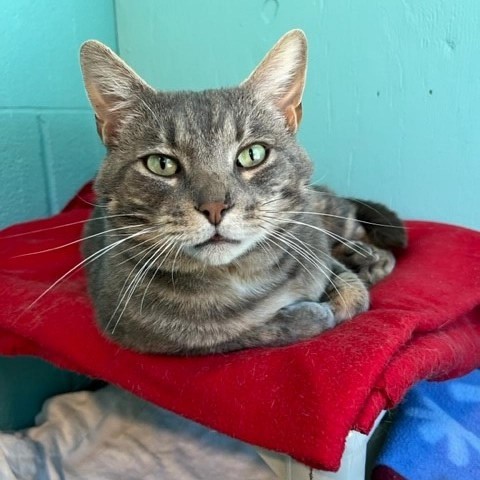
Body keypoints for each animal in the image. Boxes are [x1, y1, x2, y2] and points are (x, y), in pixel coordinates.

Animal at [79, 28, 404, 354]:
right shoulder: (148, 336)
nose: (214, 207)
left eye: (252, 154)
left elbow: (352, 294)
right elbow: (242, 333)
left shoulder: (317, 253)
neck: (238, 276)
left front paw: (348, 283)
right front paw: (309, 314)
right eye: (162, 164)